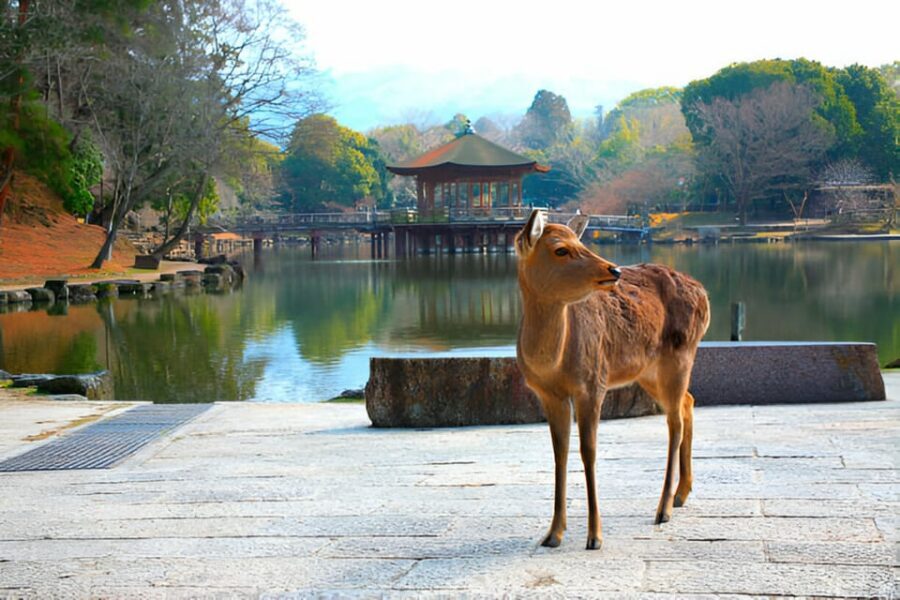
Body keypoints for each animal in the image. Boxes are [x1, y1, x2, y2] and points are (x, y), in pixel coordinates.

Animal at [514, 209, 710, 550]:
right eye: (560, 249)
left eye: (580, 242)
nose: (614, 269)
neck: (553, 363)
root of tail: (704, 293)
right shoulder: (549, 394)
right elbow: (559, 452)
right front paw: (553, 534)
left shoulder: (593, 384)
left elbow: (588, 451)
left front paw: (594, 536)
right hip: (648, 370)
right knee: (688, 401)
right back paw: (682, 494)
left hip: (681, 354)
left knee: (674, 421)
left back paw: (663, 509)